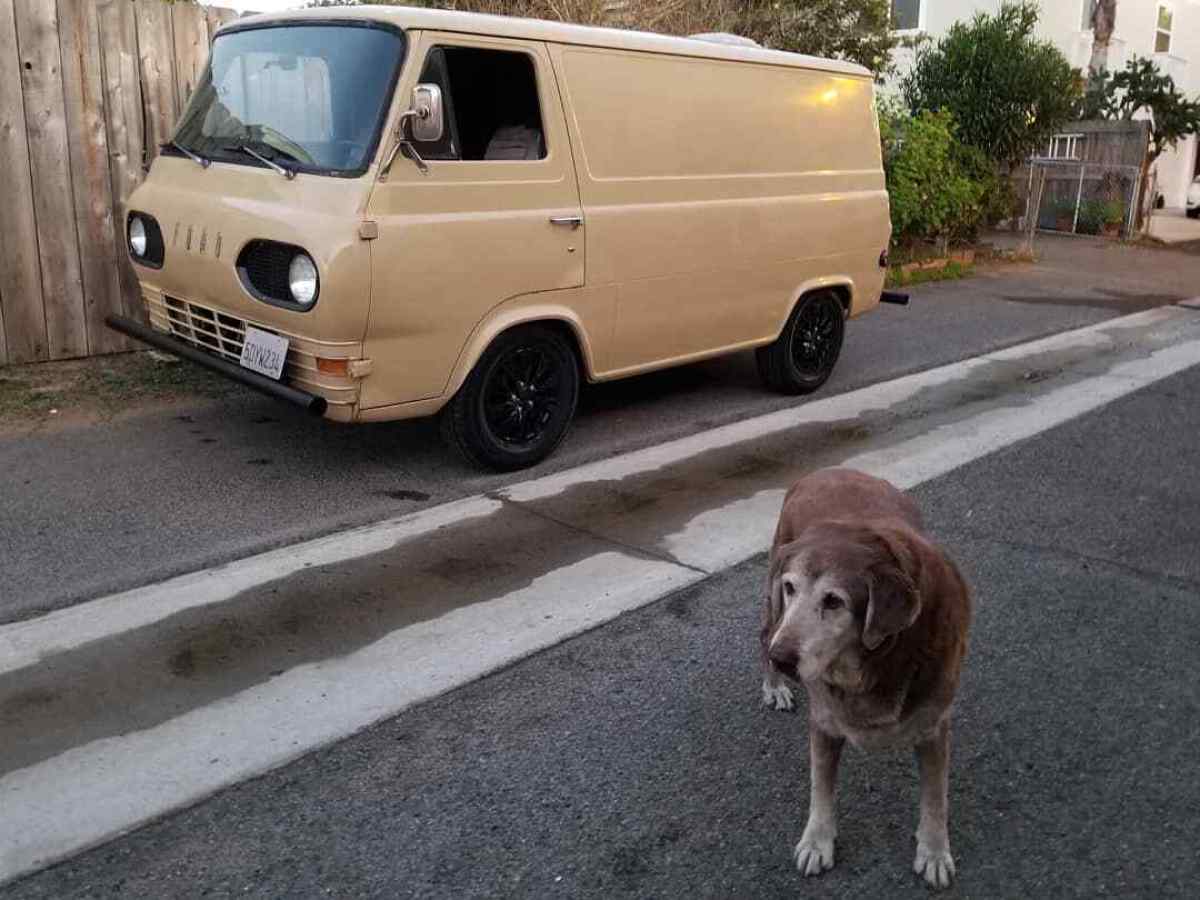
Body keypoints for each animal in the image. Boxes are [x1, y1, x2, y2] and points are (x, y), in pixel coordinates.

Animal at [763, 468, 969, 892]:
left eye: (834, 601)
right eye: (791, 587)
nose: (782, 658)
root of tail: (826, 470)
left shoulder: (935, 725)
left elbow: (935, 796)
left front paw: (934, 851)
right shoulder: (824, 722)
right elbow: (820, 787)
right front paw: (817, 841)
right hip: (774, 604)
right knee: (764, 631)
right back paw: (773, 686)